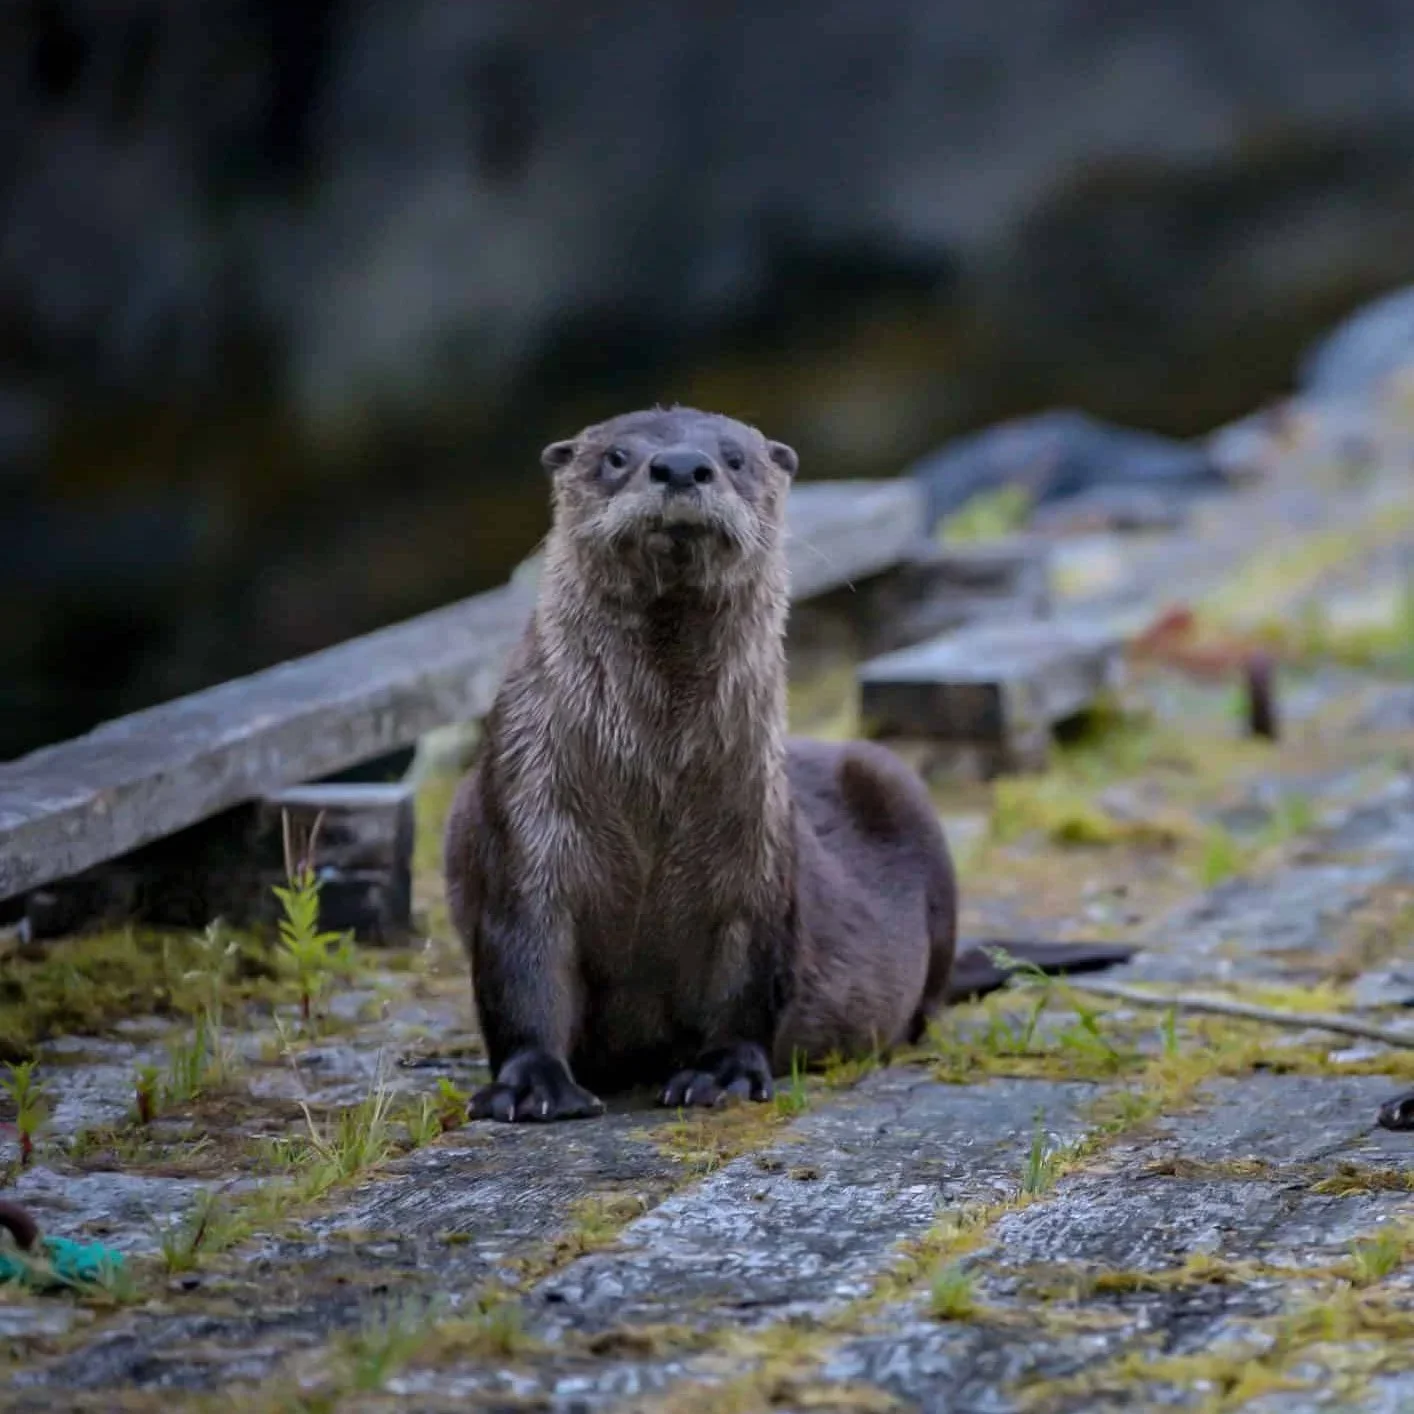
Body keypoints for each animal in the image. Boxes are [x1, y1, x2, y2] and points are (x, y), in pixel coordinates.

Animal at [444, 406, 1129, 1122]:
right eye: (616, 456)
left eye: (734, 458)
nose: (682, 466)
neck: (653, 791)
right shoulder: (524, 824)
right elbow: (523, 970)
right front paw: (533, 1084)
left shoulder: (757, 854)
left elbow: (748, 981)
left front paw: (722, 1073)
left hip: (899, 786)